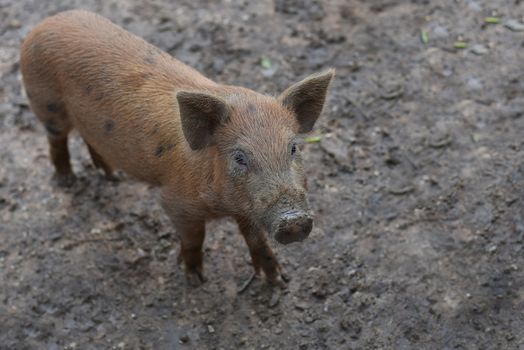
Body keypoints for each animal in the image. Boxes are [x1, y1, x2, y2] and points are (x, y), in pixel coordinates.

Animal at [20, 10, 334, 288]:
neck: (223, 204)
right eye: (240, 157)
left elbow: (257, 240)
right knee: (57, 140)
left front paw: (278, 282)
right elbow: (195, 238)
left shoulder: (249, 209)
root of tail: (45, 23)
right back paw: (67, 181)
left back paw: (112, 177)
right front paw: (194, 280)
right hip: (46, 104)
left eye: (293, 148)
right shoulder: (175, 202)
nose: (293, 220)